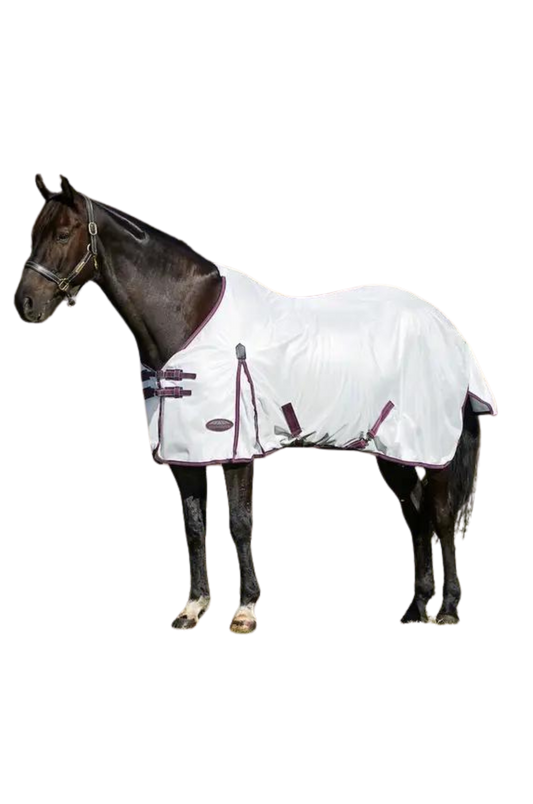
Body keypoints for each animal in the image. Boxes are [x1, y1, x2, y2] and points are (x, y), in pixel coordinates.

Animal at [12, 171, 500, 635]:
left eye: (63, 233)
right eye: (34, 232)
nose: (26, 303)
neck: (189, 317)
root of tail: (447, 328)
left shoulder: (237, 448)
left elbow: (240, 524)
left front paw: (245, 611)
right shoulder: (185, 454)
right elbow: (195, 526)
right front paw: (192, 609)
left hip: (432, 448)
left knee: (441, 516)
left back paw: (448, 610)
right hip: (392, 451)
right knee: (416, 517)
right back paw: (416, 609)